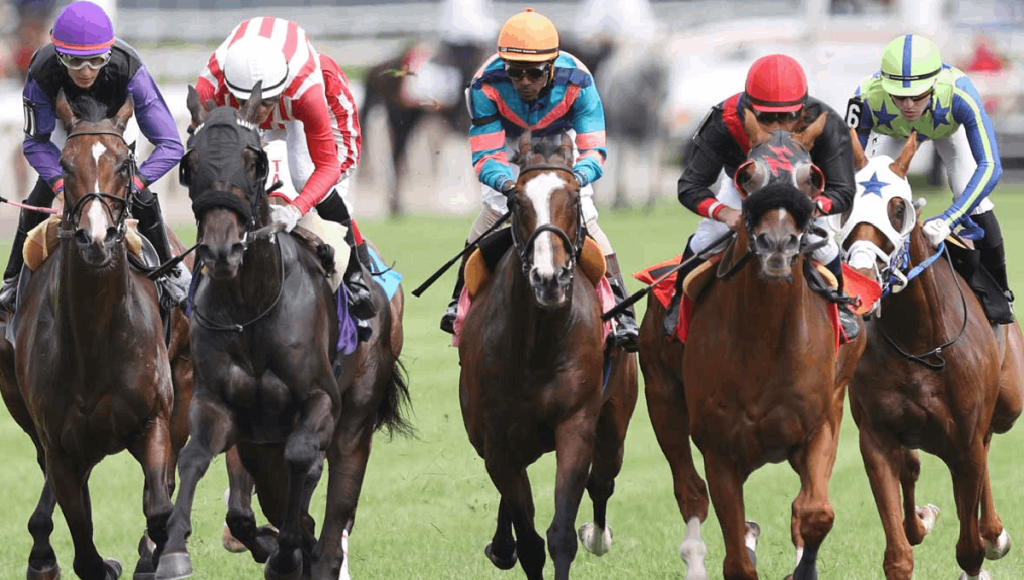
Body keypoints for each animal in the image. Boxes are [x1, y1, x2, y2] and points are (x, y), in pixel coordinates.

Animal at [0, 91, 194, 580]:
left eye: (125, 163)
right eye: (65, 165)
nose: (97, 237)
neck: (94, 340)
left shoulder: (154, 420)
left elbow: (159, 508)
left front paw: (160, 556)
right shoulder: (59, 445)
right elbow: (84, 545)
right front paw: (79, 560)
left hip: (184, 384)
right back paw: (42, 553)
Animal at [155, 82, 410, 580]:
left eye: (252, 161)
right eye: (190, 163)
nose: (221, 249)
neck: (252, 306)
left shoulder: (320, 402)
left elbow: (303, 461)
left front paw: (290, 549)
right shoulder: (220, 404)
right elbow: (195, 457)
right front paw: (174, 548)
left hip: (357, 414)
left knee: (336, 504)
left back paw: (316, 552)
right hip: (261, 438)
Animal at [457, 130, 638, 580]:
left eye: (573, 198)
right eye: (516, 202)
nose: (549, 278)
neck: (536, 344)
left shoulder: (575, 424)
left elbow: (560, 534)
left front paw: (581, 536)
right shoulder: (496, 439)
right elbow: (529, 540)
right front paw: (509, 544)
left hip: (615, 420)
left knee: (603, 480)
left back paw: (598, 535)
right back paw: (502, 545)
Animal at [637, 109, 866, 580]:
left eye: (811, 178)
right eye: (747, 176)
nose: (776, 244)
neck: (765, 343)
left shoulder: (819, 425)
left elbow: (815, 512)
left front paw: (803, 568)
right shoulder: (720, 448)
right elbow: (737, 558)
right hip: (661, 397)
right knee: (690, 492)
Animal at [837, 130, 1024, 580]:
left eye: (898, 208)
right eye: (846, 204)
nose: (861, 278)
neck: (920, 341)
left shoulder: (965, 440)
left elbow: (970, 549)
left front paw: (986, 544)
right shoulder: (876, 438)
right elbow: (899, 552)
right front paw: (918, 523)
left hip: (1009, 402)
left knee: (988, 444)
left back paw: (995, 533)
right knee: (914, 468)